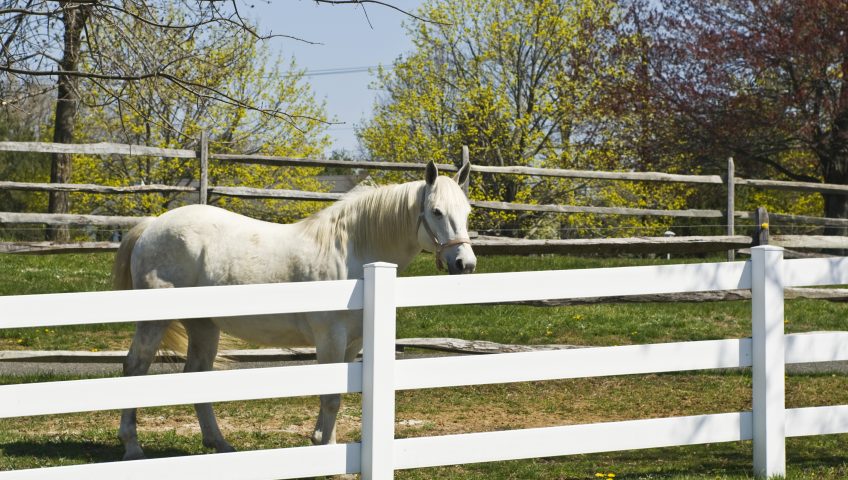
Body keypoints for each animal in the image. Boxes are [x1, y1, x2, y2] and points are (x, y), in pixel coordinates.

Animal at [111, 159, 476, 460]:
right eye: (436, 211)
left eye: (468, 212)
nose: (465, 264)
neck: (352, 251)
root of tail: (152, 226)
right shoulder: (330, 337)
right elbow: (331, 395)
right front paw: (327, 449)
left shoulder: (352, 342)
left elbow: (338, 393)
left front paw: (321, 440)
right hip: (153, 322)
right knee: (134, 368)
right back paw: (132, 447)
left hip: (204, 325)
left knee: (196, 374)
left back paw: (219, 443)